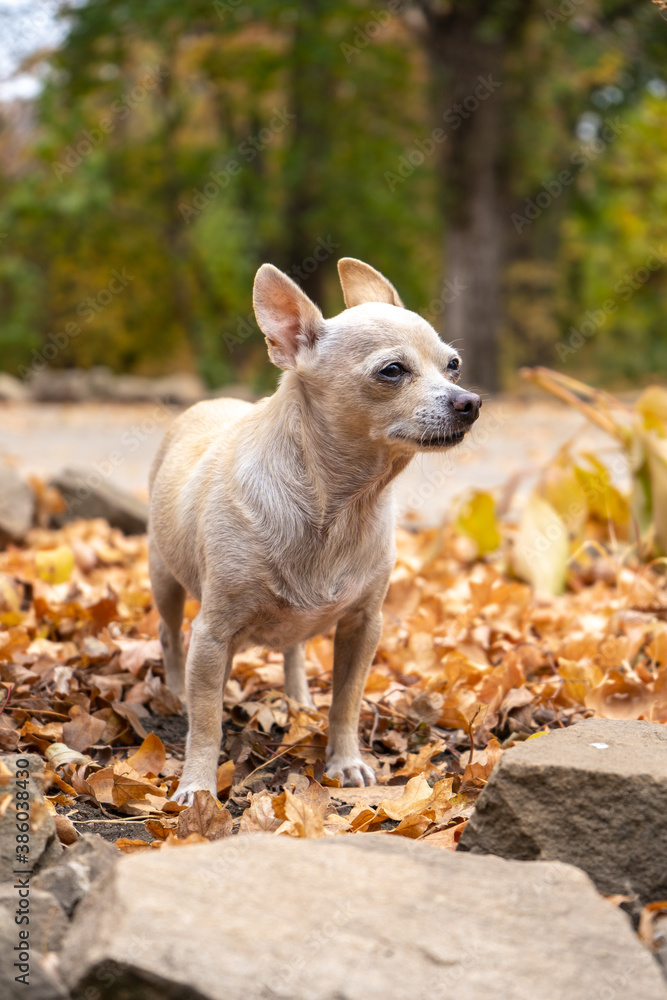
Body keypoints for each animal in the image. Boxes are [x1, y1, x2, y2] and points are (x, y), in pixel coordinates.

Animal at [148, 260, 480, 804]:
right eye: (393, 371)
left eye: (452, 365)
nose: (470, 401)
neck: (342, 507)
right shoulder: (213, 634)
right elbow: (207, 721)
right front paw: (197, 786)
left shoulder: (364, 625)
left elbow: (346, 701)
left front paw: (345, 762)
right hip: (165, 582)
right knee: (170, 635)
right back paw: (176, 691)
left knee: (294, 649)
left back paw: (299, 698)